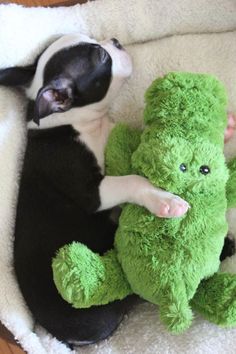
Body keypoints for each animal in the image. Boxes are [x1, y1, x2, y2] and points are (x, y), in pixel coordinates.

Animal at [0, 34, 218, 348]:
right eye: (101, 57)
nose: (116, 41)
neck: (74, 122)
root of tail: (59, 334)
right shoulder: (90, 190)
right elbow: (132, 180)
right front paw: (166, 201)